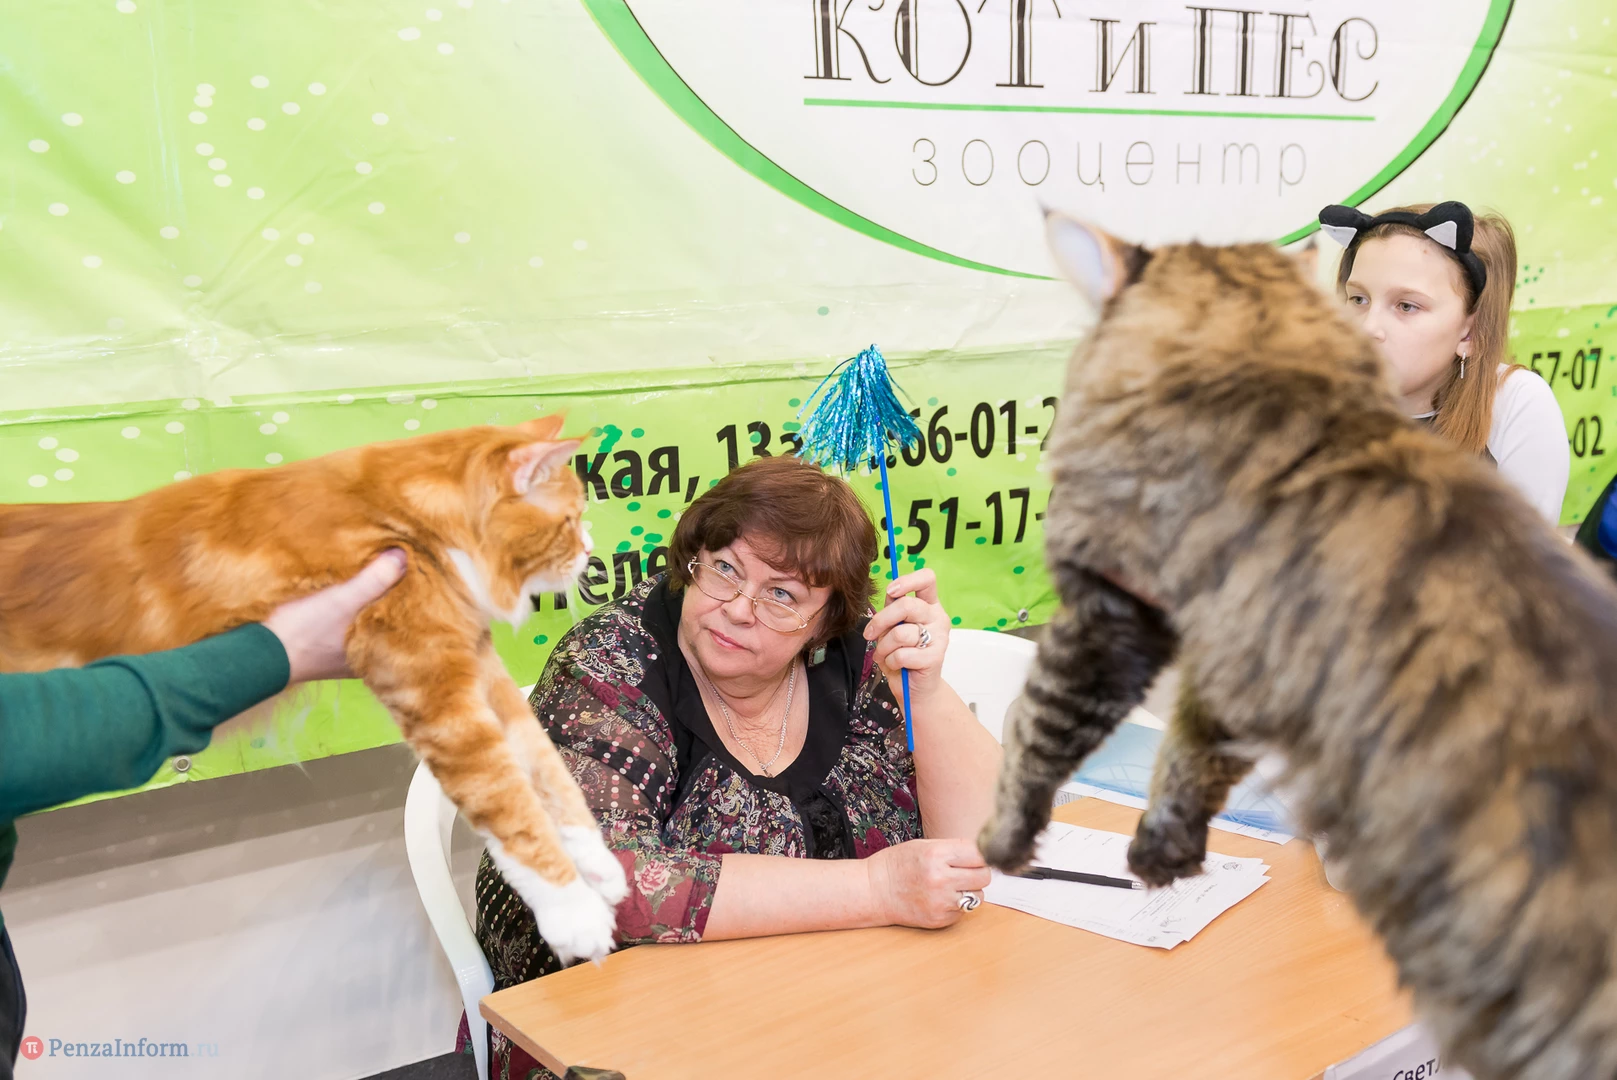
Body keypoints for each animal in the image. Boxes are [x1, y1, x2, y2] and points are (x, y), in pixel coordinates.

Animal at [0, 413, 629, 963]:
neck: (407, 518)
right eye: (570, 521)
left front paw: (597, 862)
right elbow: (512, 807)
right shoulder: (437, 695)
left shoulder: (476, 667)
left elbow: (549, 771)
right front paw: (573, 914)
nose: (590, 550)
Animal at [978, 213, 1617, 1080]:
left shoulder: (1109, 614)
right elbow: (1185, 760)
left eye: (1401, 303)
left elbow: (1033, 729)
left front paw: (1006, 842)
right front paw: (1164, 855)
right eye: (1359, 300)